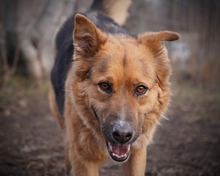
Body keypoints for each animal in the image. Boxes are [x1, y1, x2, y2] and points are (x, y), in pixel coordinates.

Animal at [49, 0, 180, 175]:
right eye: (104, 86)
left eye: (141, 89)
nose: (123, 135)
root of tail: (93, 12)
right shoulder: (83, 160)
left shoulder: (137, 154)